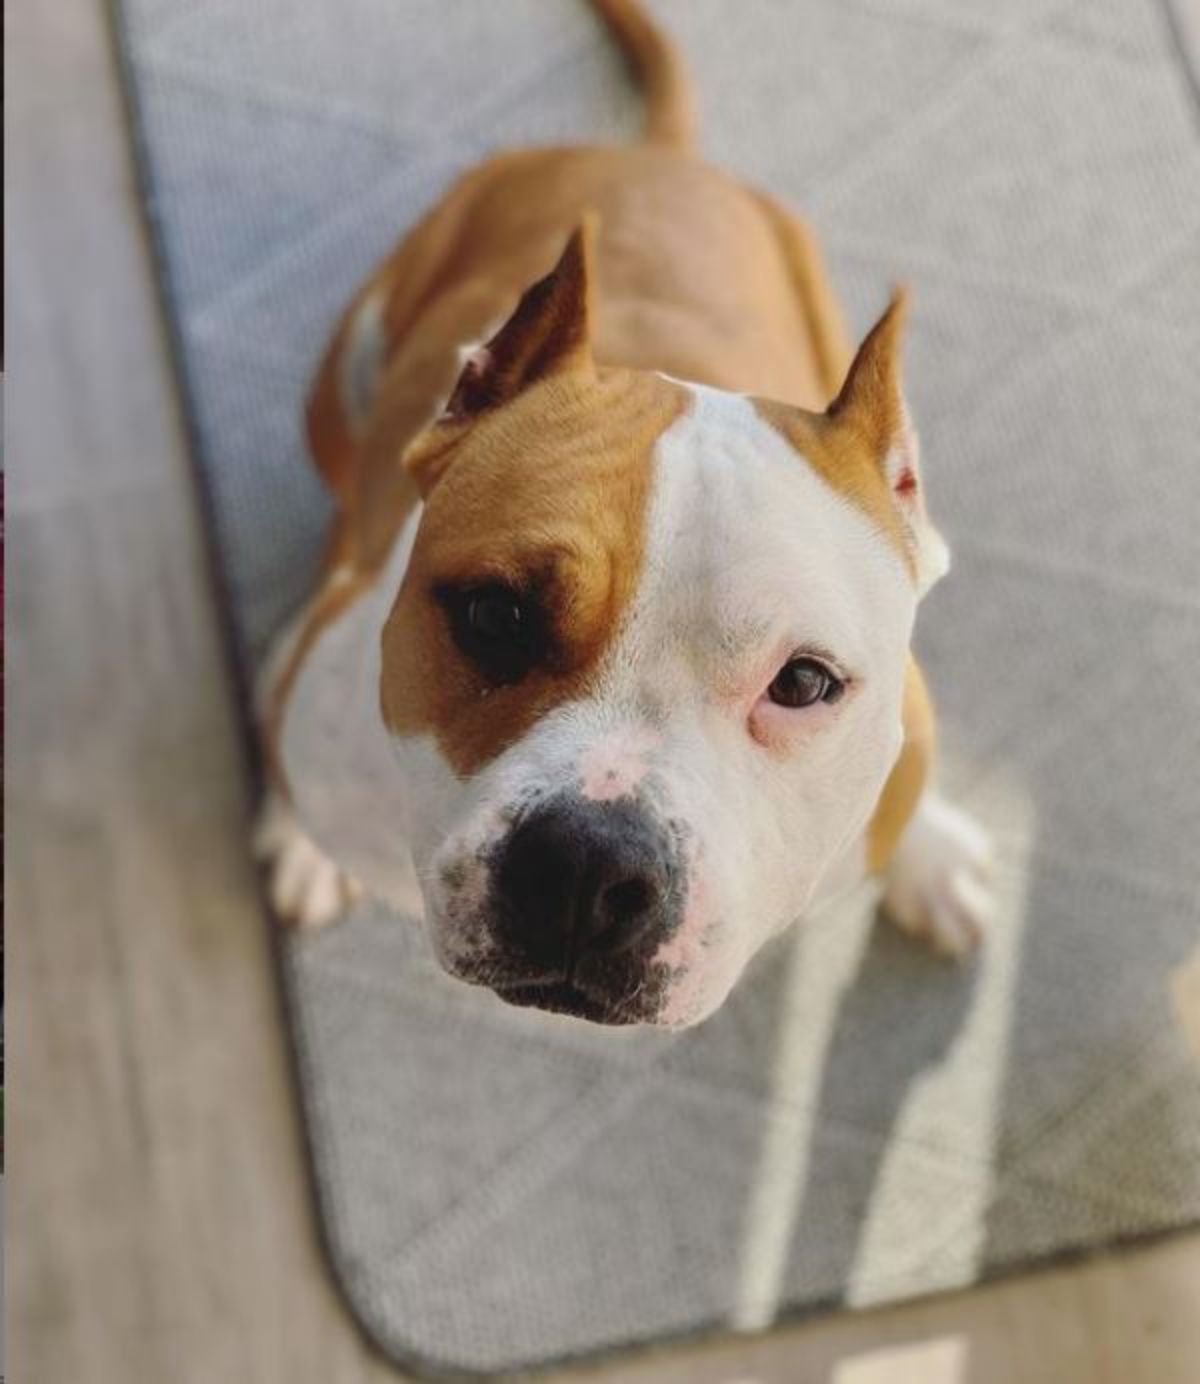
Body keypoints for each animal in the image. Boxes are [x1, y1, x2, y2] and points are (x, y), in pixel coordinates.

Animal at [256, 0, 996, 1024]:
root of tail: (653, 153)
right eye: (494, 616)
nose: (585, 867)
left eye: (805, 683)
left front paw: (930, 851)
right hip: (352, 362)